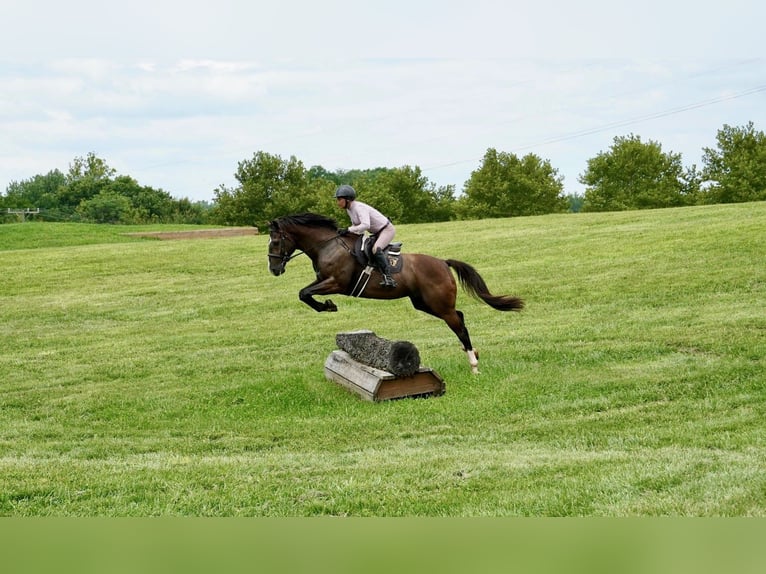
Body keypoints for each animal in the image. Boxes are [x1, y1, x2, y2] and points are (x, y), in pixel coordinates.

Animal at [267, 213, 523, 373]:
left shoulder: (336, 283)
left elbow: (304, 293)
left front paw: (328, 306)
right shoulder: (322, 280)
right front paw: (327, 306)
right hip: (424, 303)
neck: (327, 245)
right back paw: (474, 355)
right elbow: (304, 293)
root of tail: (442, 262)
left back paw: (473, 364)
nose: (274, 269)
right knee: (459, 316)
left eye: (276, 242)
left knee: (459, 326)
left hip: (439, 304)